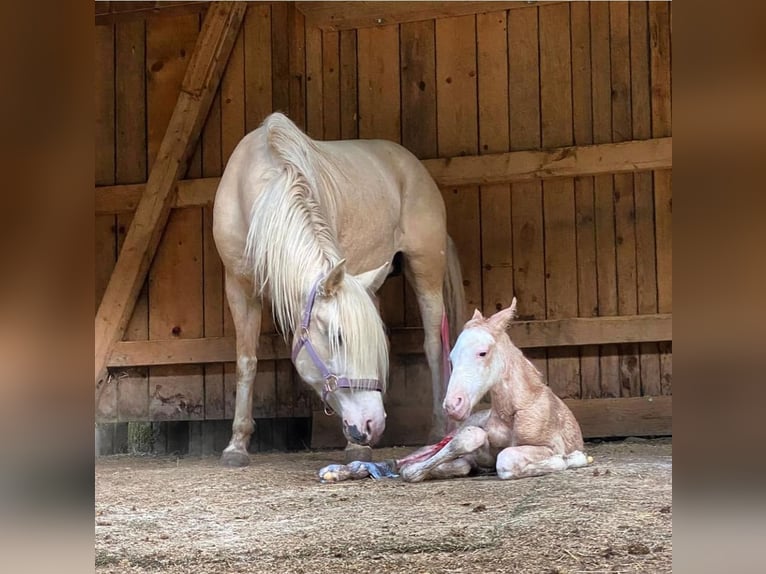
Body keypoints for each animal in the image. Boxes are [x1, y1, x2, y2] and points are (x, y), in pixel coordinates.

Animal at [213, 112, 465, 467]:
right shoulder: (239, 287)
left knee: (433, 344)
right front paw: (236, 446)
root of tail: (414, 167)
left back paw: (436, 428)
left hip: (425, 268)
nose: (372, 424)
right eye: (338, 338)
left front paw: (356, 447)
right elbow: (246, 362)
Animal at [397, 298, 590, 482]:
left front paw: (567, 459)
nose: (453, 405)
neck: (512, 413)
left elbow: (506, 459)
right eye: (451, 357)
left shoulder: (549, 445)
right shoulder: (483, 452)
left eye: (482, 353)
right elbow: (471, 441)